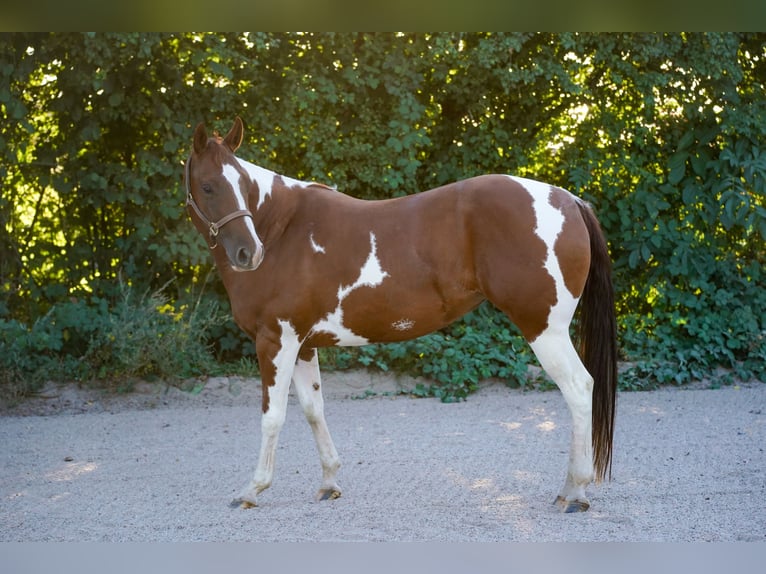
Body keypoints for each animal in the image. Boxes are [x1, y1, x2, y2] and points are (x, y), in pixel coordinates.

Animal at [184, 116, 617, 513]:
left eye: (242, 184)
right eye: (208, 186)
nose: (248, 253)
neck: (282, 230)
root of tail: (569, 200)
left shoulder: (276, 339)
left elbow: (272, 417)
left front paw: (252, 490)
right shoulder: (303, 343)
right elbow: (312, 409)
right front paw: (328, 482)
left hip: (545, 328)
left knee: (579, 388)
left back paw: (573, 492)